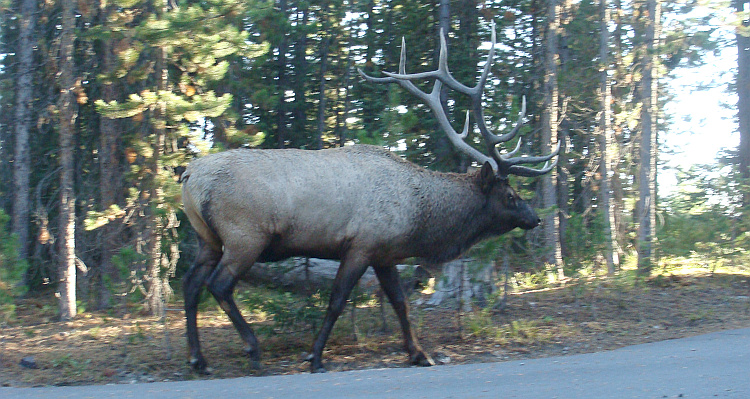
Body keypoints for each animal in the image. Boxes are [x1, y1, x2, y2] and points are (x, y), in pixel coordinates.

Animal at [182, 23, 560, 376]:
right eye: (510, 195)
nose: (535, 218)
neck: (421, 218)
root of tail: (188, 178)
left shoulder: (385, 253)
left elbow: (400, 302)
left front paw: (419, 354)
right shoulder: (361, 244)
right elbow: (336, 301)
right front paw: (314, 357)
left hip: (207, 238)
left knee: (191, 285)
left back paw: (199, 360)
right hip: (245, 235)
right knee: (219, 285)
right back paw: (252, 349)